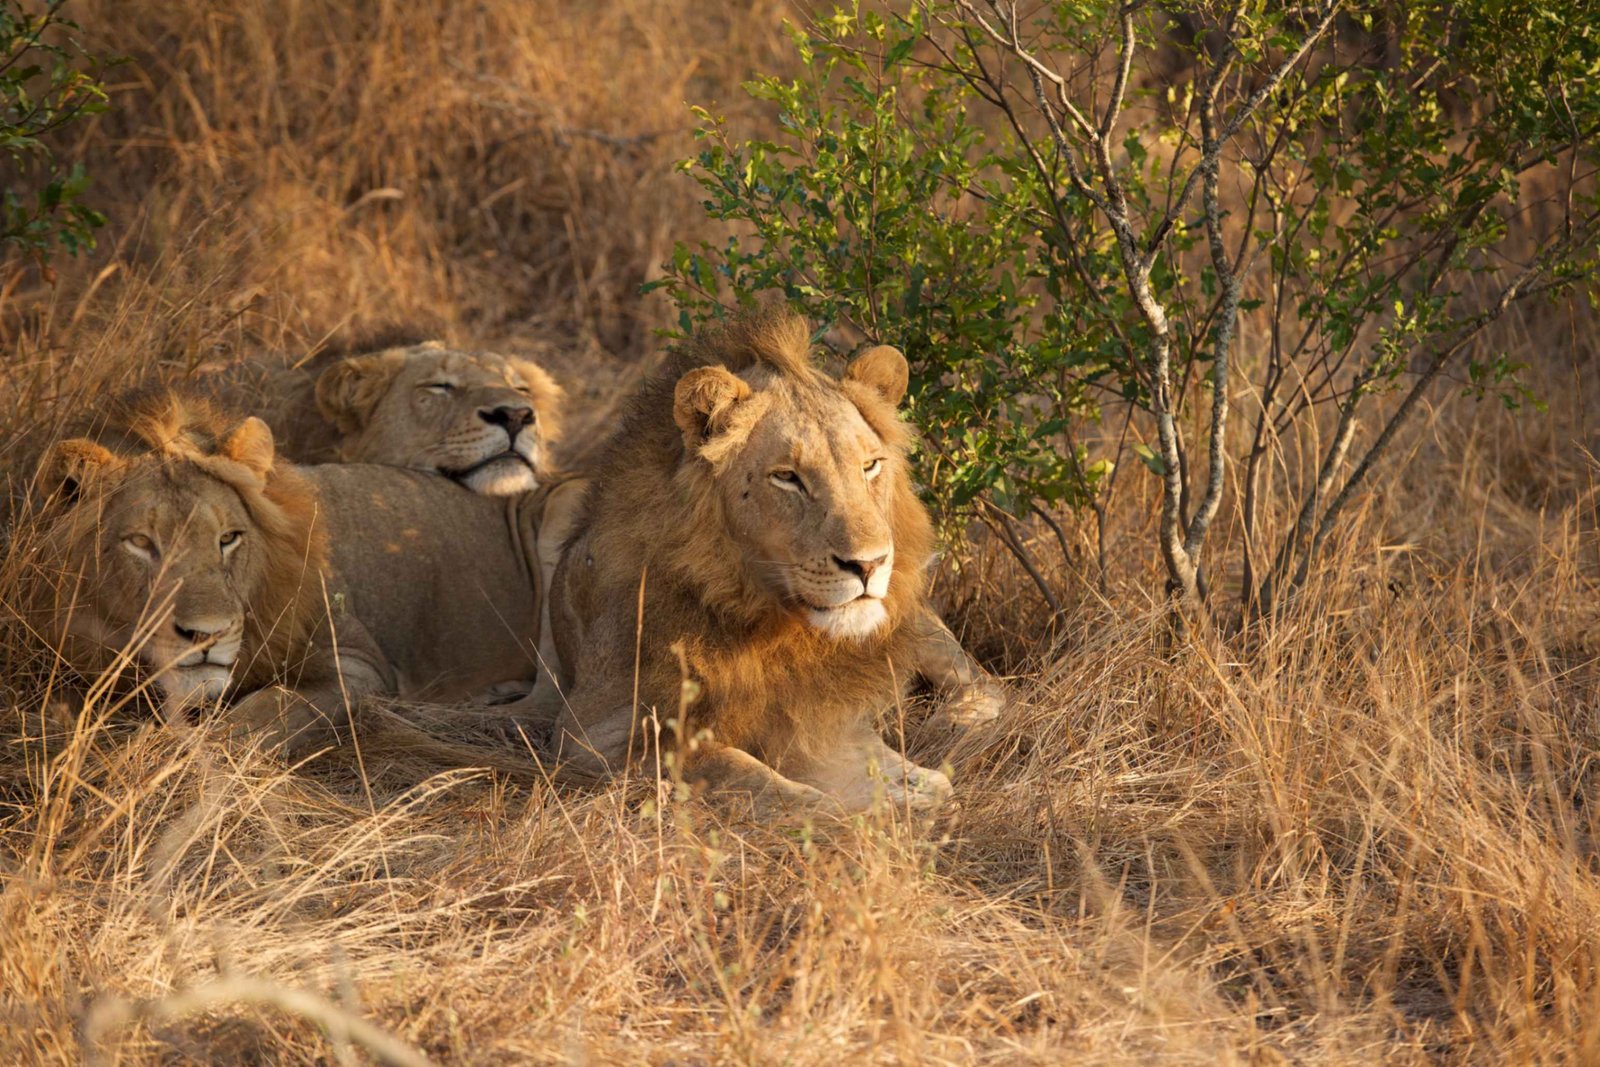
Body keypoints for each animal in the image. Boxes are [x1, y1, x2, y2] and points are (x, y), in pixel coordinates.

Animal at [516, 311, 969, 814]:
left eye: (870, 465)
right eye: (787, 477)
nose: (870, 565)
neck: (767, 620)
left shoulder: (821, 724)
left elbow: (917, 779)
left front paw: (913, 798)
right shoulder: (589, 736)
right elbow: (737, 768)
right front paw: (837, 814)